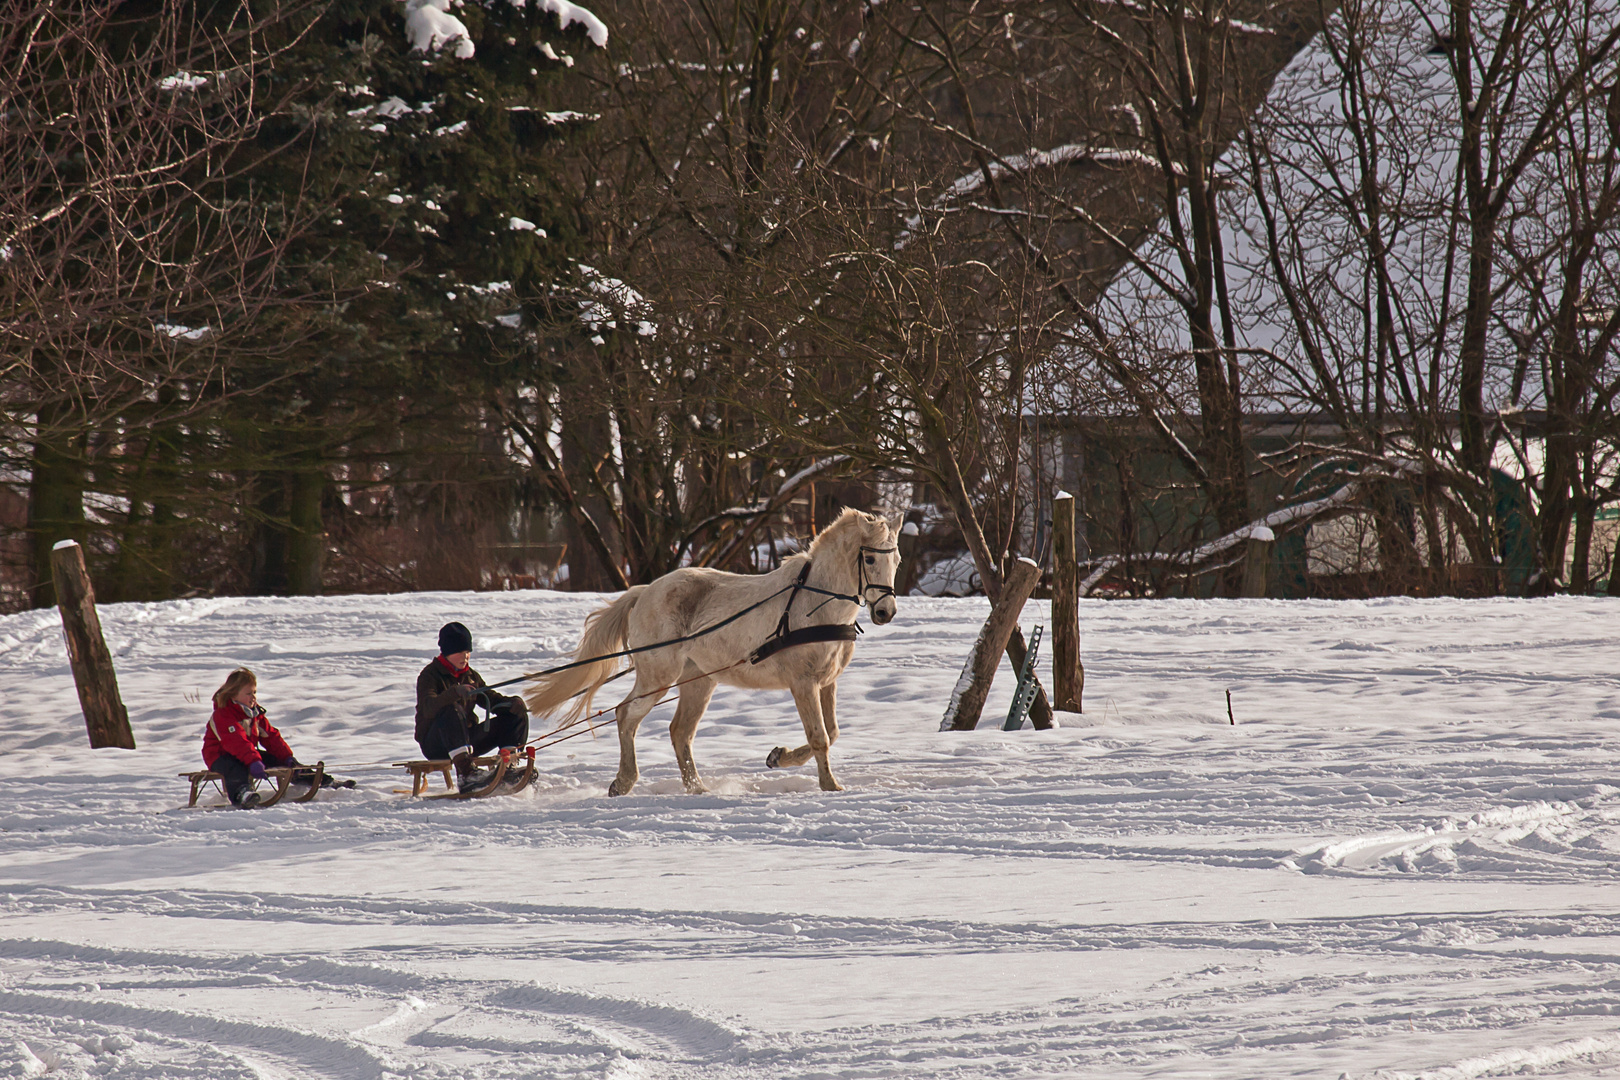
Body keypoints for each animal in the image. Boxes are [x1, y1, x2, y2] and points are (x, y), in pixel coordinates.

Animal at [528, 511, 900, 799]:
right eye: (869, 559)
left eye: (895, 559)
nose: (886, 612)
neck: (815, 606)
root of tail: (645, 592)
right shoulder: (803, 682)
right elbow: (820, 736)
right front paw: (829, 785)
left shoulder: (826, 683)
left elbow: (832, 733)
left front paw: (778, 757)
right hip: (658, 676)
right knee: (625, 715)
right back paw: (624, 782)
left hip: (699, 680)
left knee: (679, 731)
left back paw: (696, 788)